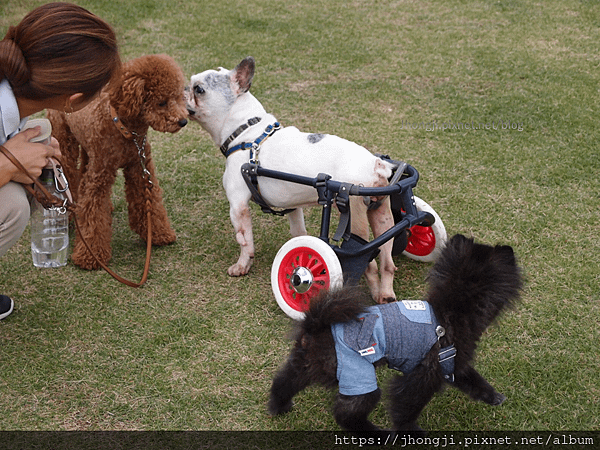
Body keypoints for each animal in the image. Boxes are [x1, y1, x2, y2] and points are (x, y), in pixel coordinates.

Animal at [186, 56, 404, 302]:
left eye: (199, 89)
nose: (183, 89)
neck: (245, 133)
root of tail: (376, 164)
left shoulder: (237, 206)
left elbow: (244, 240)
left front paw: (242, 266)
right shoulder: (292, 205)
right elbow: (298, 232)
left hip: (354, 214)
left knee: (369, 263)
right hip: (382, 213)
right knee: (386, 260)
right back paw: (386, 294)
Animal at [268, 234, 520, 430]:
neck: (450, 310)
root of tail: (316, 324)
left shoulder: (453, 363)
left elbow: (474, 380)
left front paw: (493, 396)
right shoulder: (425, 374)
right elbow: (406, 407)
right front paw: (411, 432)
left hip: (307, 365)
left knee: (284, 382)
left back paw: (278, 406)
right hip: (358, 378)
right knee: (346, 415)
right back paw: (376, 434)